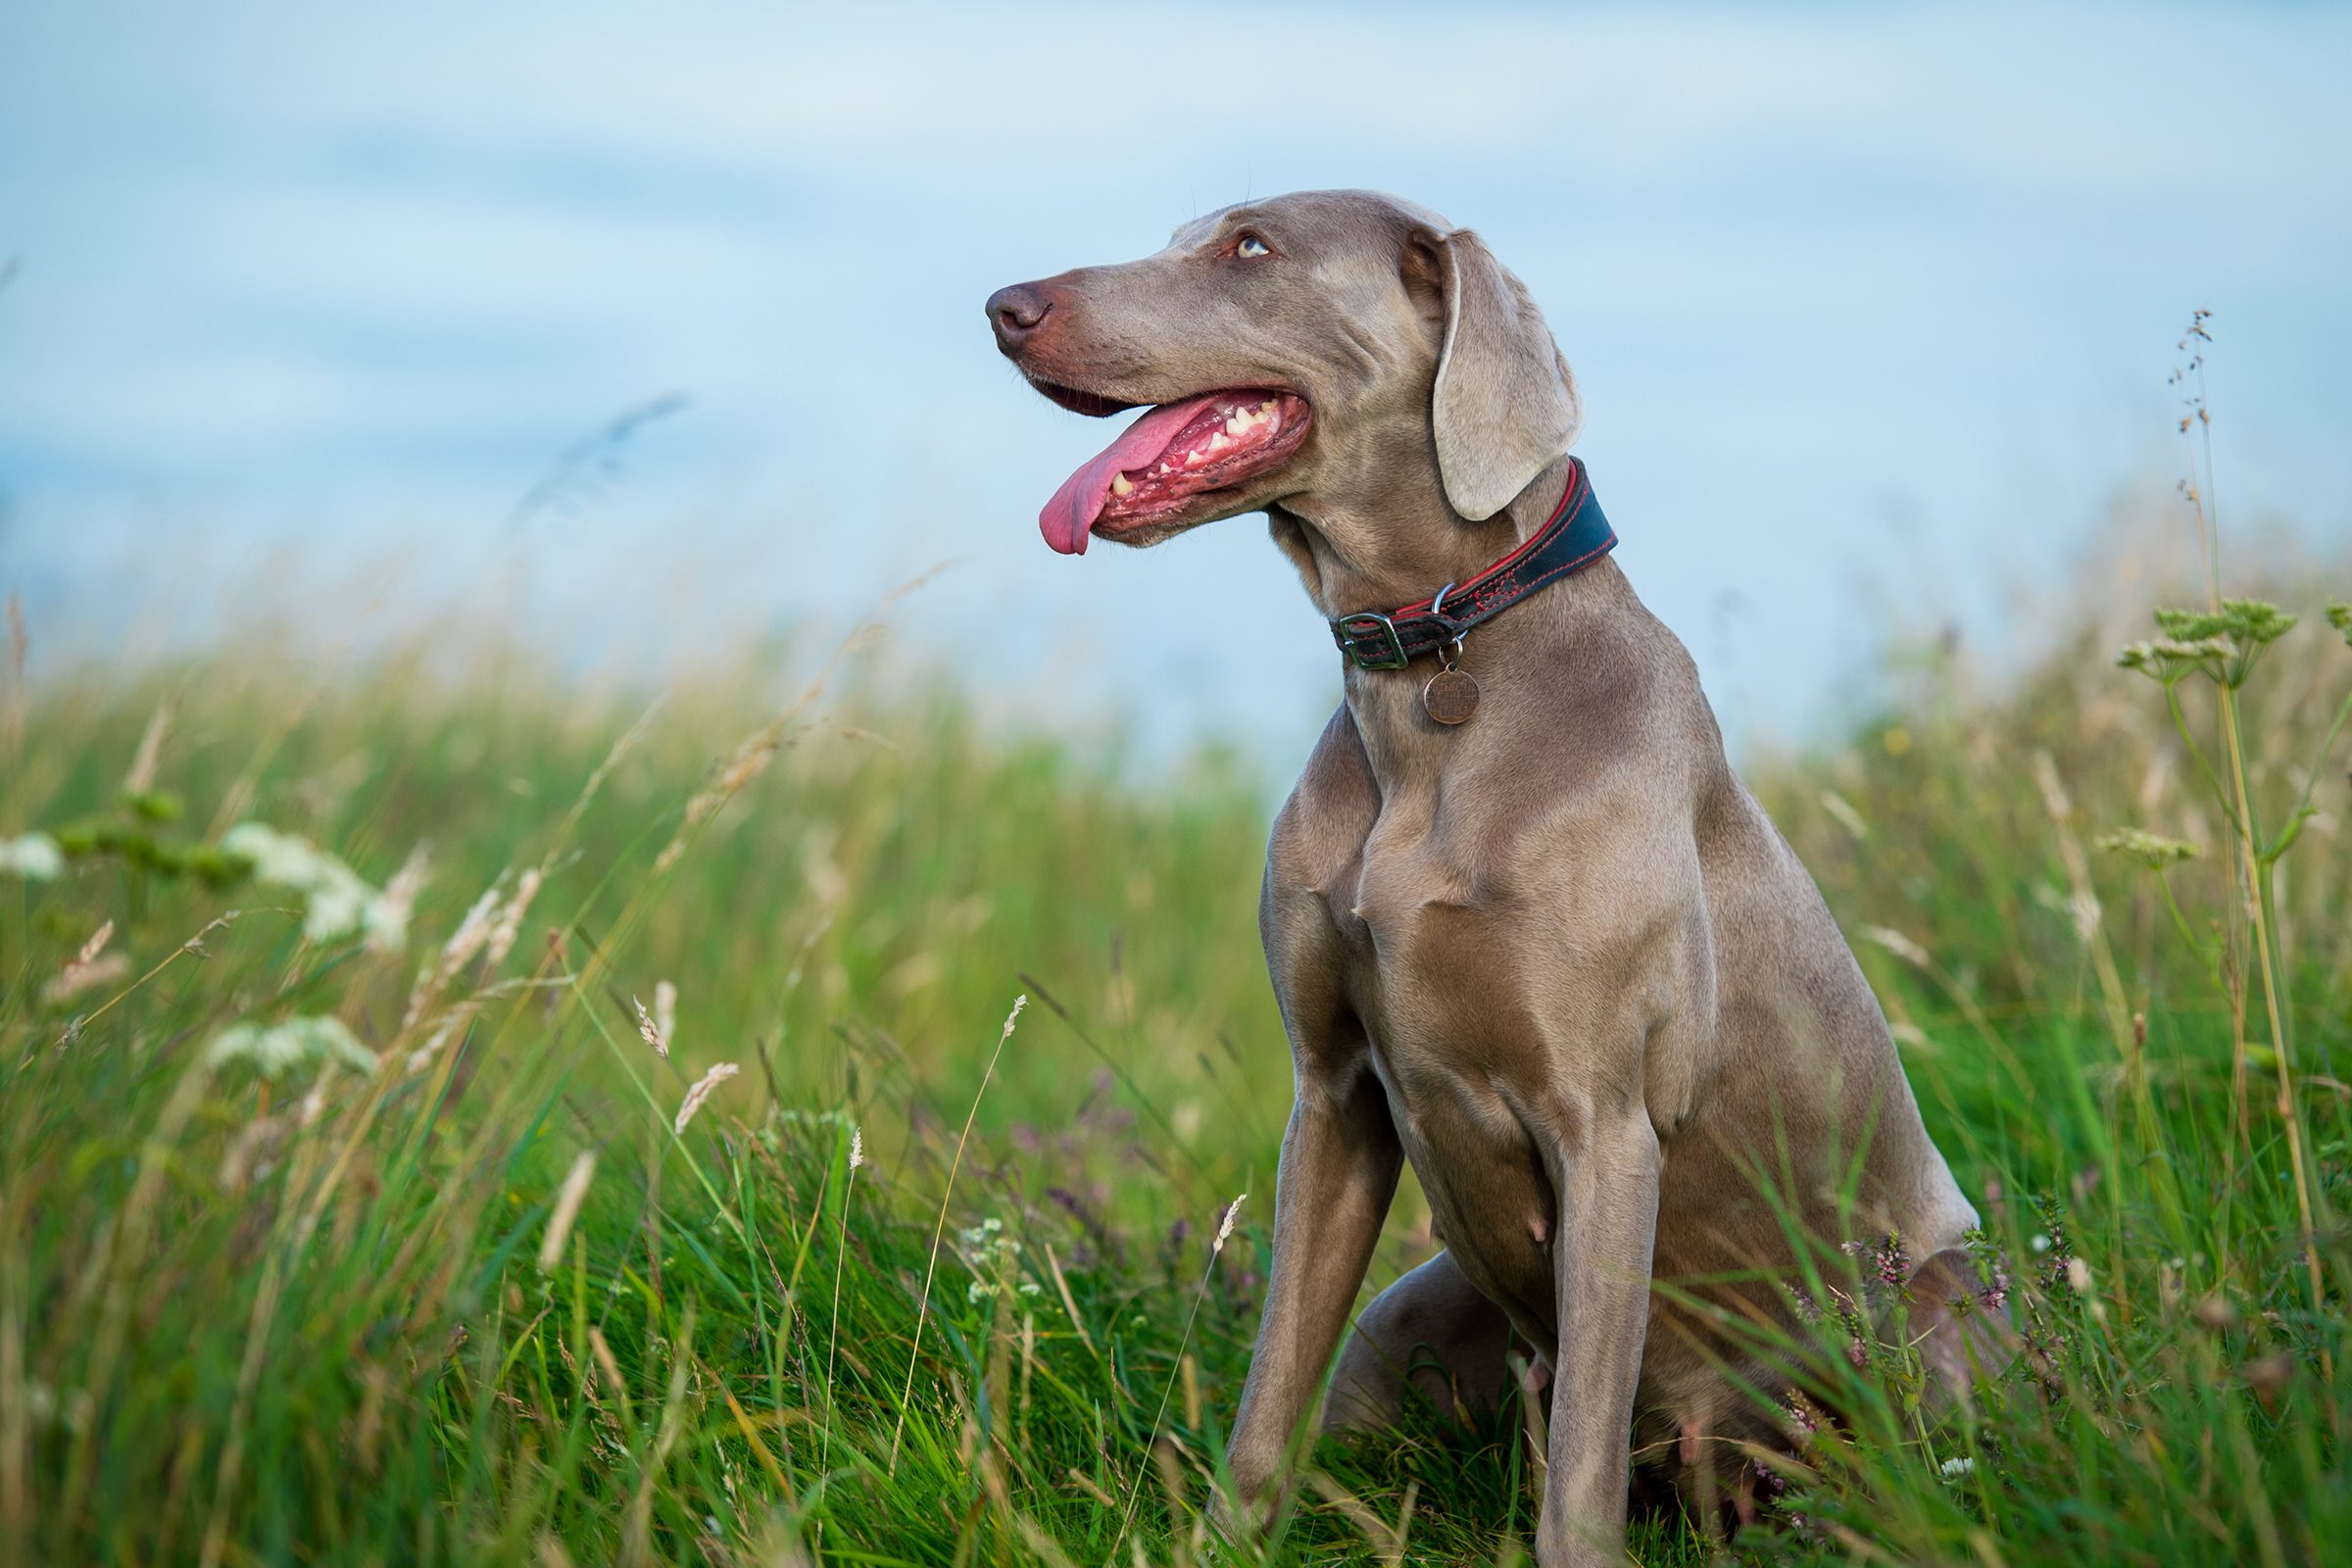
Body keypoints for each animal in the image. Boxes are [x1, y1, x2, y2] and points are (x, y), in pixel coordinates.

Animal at [983, 190, 1994, 1560]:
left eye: (1250, 246)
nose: (1004, 305)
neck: (1432, 667)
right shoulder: (1335, 1095)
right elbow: (1266, 1396)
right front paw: (1217, 1540)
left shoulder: (1607, 1124)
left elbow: (1579, 1476)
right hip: (1415, 1310)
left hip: (1940, 1311)